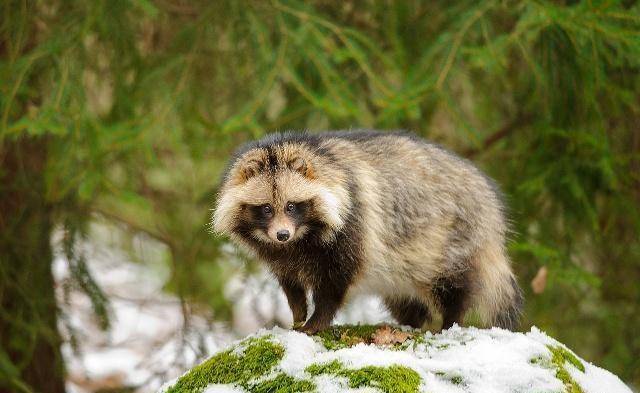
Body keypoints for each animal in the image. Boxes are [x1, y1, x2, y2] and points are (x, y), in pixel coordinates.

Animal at [212, 130, 524, 332]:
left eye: (291, 206)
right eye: (266, 208)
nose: (282, 235)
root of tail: (490, 200)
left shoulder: (354, 222)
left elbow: (336, 281)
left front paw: (316, 320)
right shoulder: (279, 254)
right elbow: (291, 284)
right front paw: (298, 314)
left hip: (452, 238)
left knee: (454, 286)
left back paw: (450, 321)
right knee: (405, 299)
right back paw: (411, 322)